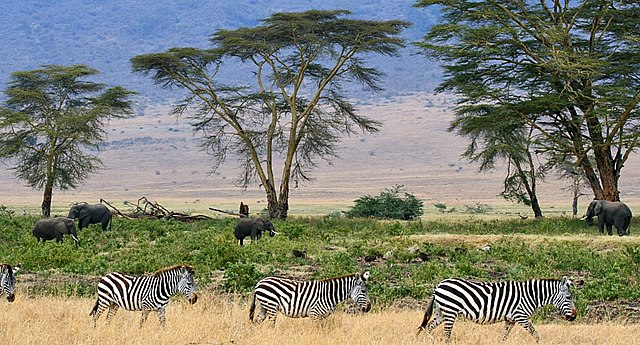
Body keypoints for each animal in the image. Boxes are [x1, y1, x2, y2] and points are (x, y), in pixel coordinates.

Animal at [418, 274, 576, 342]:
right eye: (569, 298)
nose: (574, 317)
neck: (530, 296)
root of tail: (439, 285)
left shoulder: (510, 319)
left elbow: (504, 337)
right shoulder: (521, 316)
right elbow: (535, 334)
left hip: (442, 311)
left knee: (429, 327)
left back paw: (426, 340)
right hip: (450, 311)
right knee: (447, 333)